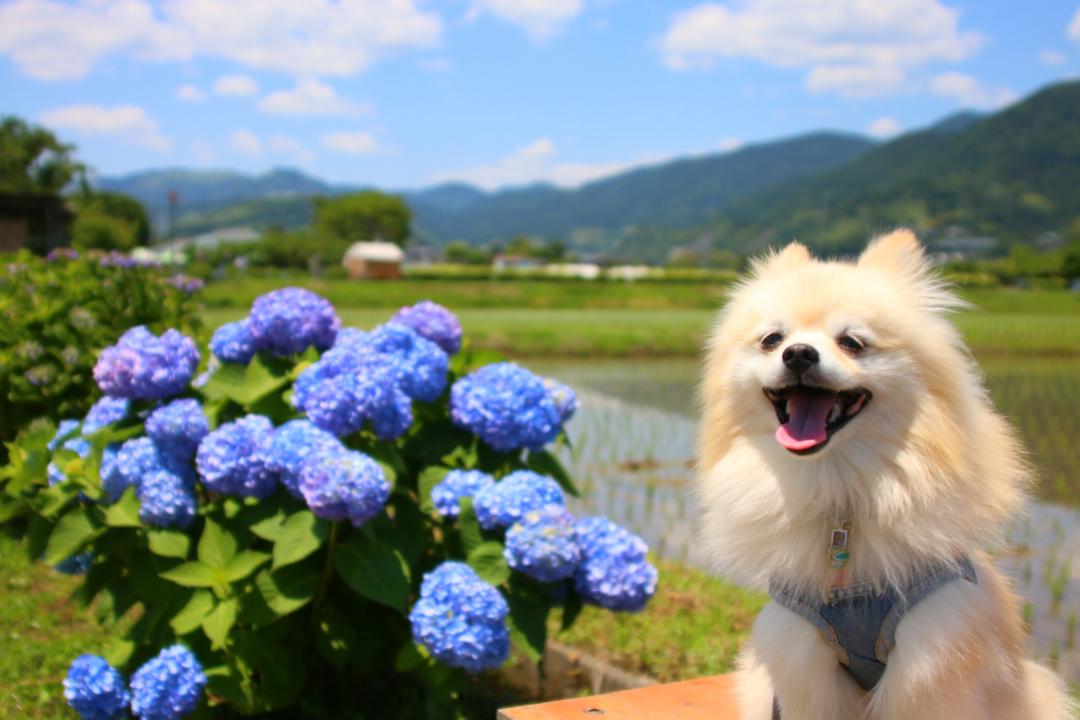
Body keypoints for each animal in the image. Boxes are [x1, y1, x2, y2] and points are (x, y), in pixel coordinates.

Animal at [695, 232, 1075, 720]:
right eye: (772, 339)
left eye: (853, 342)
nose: (797, 353)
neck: (839, 488)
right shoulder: (806, 663)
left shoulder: (932, 662)